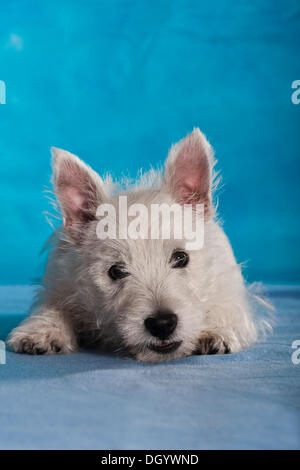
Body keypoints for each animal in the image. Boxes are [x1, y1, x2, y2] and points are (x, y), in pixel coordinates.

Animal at [7, 126, 270, 362]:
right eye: (115, 271)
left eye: (181, 257)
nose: (162, 324)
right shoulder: (60, 285)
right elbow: (54, 308)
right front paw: (41, 331)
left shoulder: (230, 290)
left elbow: (226, 308)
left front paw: (212, 330)